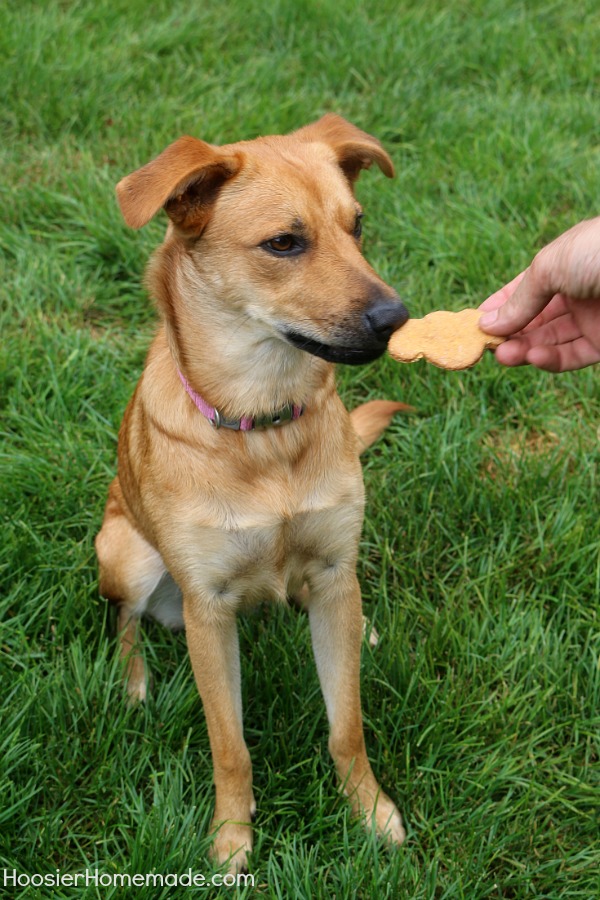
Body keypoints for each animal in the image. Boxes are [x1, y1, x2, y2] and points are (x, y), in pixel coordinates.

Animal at [96, 114, 410, 872]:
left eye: (358, 225)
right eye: (283, 243)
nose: (398, 319)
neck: (266, 426)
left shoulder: (333, 568)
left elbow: (347, 726)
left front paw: (370, 812)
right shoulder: (209, 611)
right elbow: (229, 745)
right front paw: (231, 840)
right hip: (126, 552)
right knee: (125, 622)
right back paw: (134, 683)